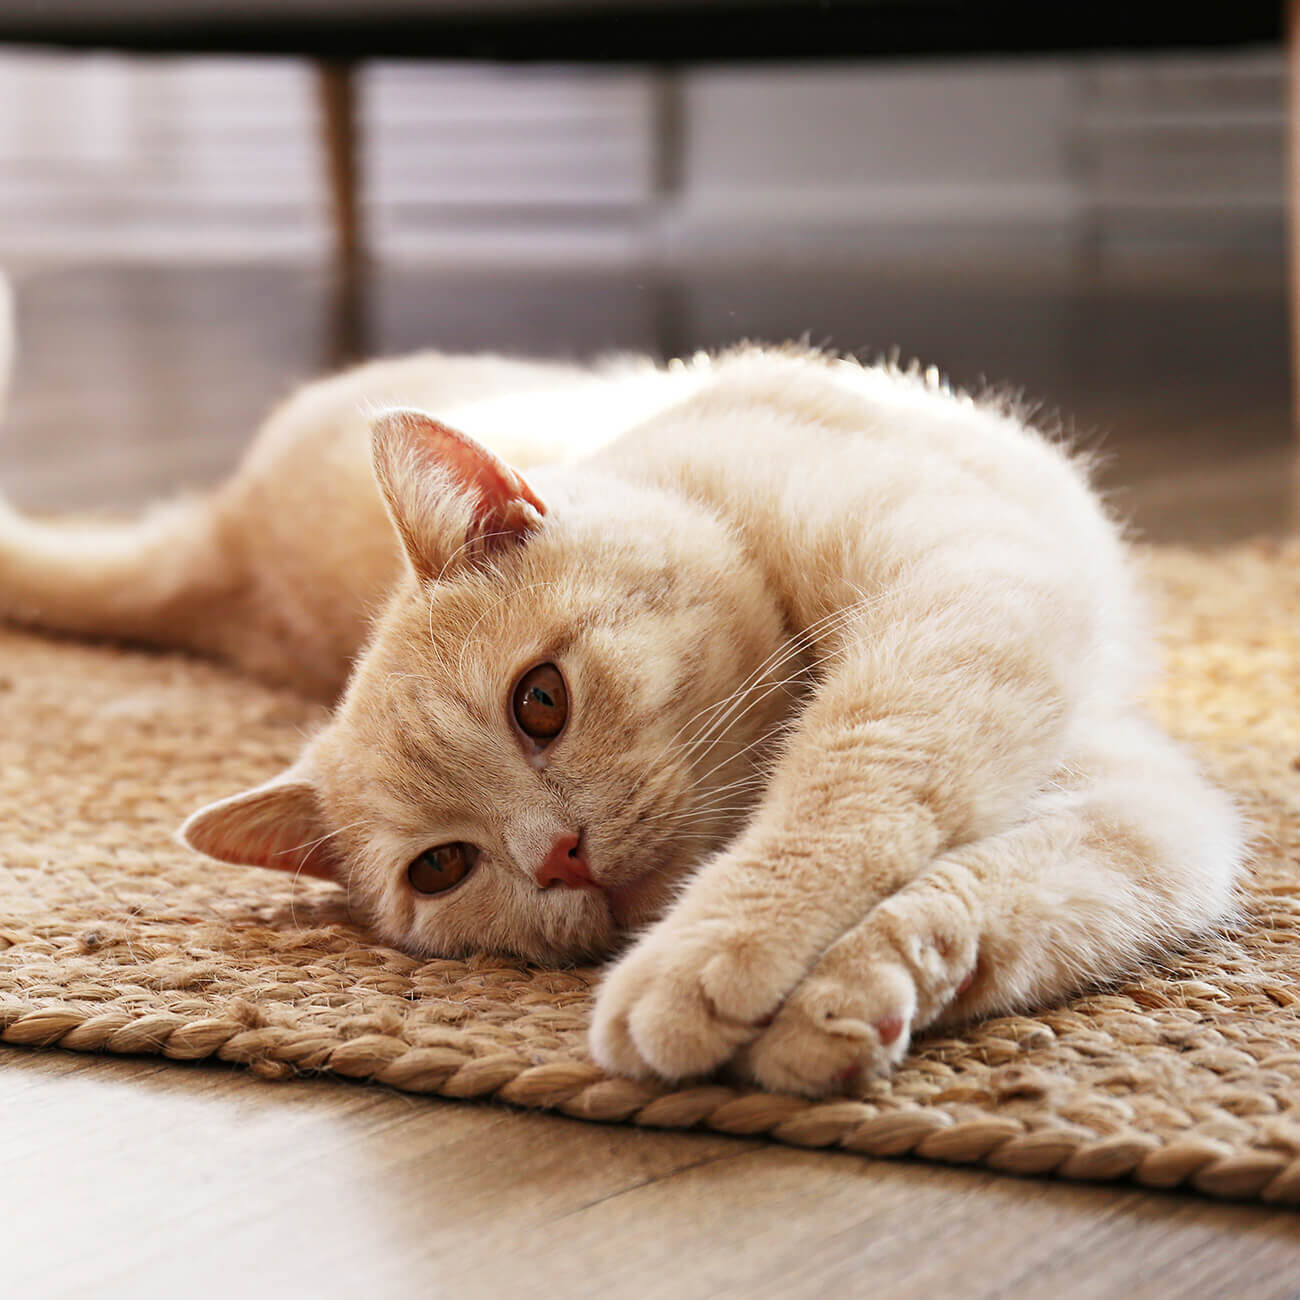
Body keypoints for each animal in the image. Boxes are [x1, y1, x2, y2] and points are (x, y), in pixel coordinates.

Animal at [0, 309, 1237, 1092]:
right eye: (441, 867)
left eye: (540, 702)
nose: (561, 857)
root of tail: (226, 539)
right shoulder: (1149, 812)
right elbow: (995, 893)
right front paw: (840, 996)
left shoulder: (970, 593)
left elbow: (853, 787)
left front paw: (720, 961)